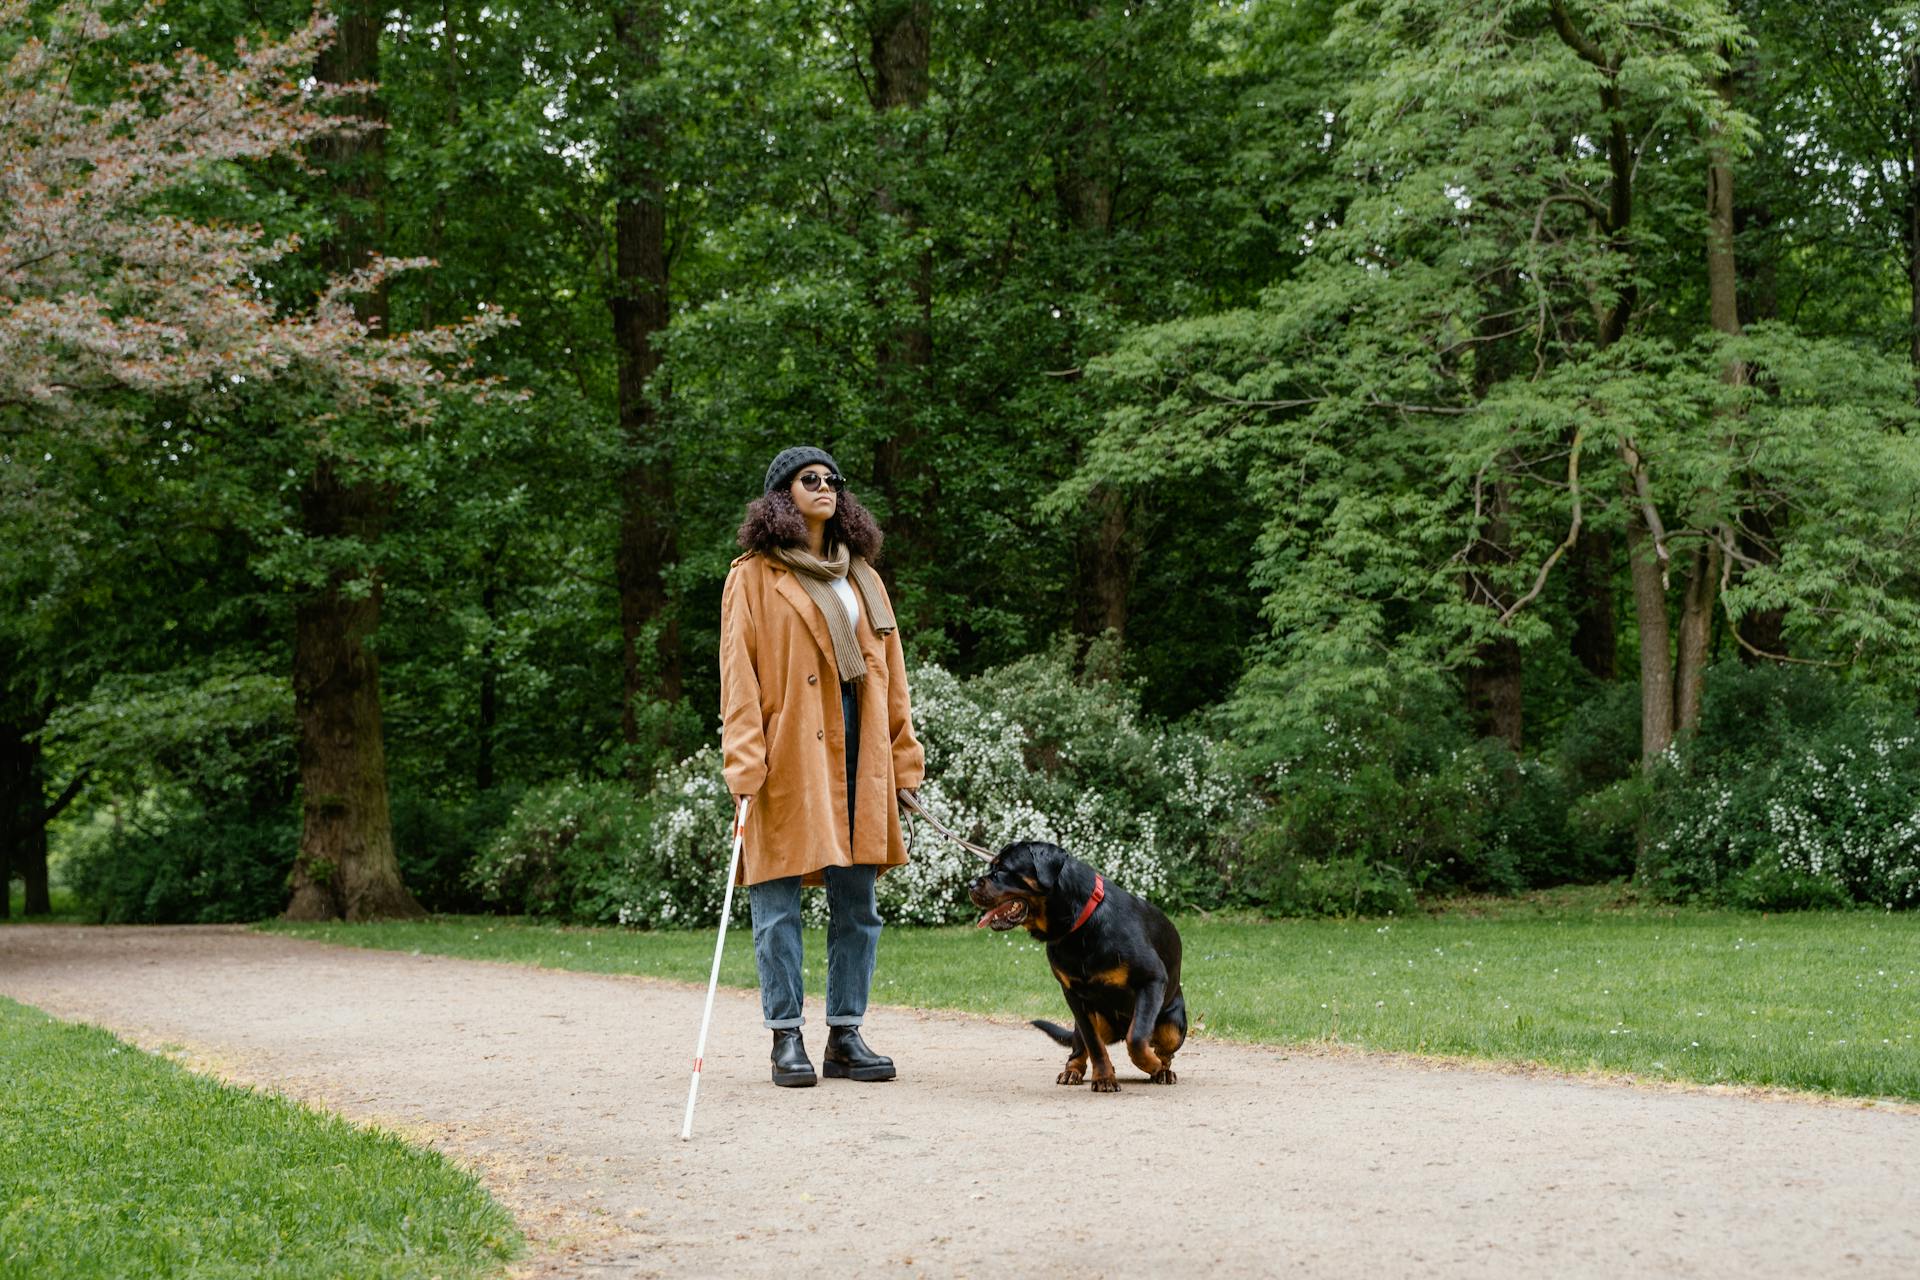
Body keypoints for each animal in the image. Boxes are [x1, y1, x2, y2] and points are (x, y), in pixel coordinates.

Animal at [967, 840, 1190, 1090]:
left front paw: (1152, 1065)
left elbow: (1137, 1037)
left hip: (1174, 1025)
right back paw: (1072, 1071)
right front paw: (1104, 1077)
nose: (970, 884)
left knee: (1163, 1048)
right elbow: (1093, 1043)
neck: (1079, 927)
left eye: (1003, 869)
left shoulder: (1151, 979)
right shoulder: (1074, 995)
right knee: (1079, 1046)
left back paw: (1163, 1071)